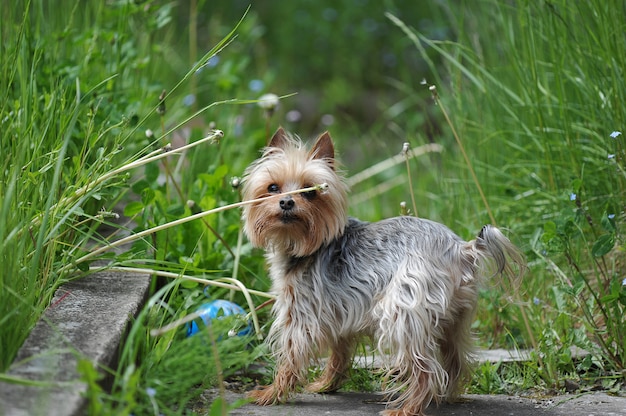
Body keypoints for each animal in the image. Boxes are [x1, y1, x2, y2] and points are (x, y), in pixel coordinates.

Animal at [239, 127, 520, 416]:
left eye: (311, 193)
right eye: (273, 187)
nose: (286, 202)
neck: (303, 244)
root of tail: (461, 249)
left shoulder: (300, 315)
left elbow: (291, 356)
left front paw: (272, 393)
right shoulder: (339, 314)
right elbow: (339, 353)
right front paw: (326, 385)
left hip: (402, 311)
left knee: (426, 369)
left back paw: (407, 408)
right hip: (454, 319)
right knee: (454, 360)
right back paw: (444, 397)